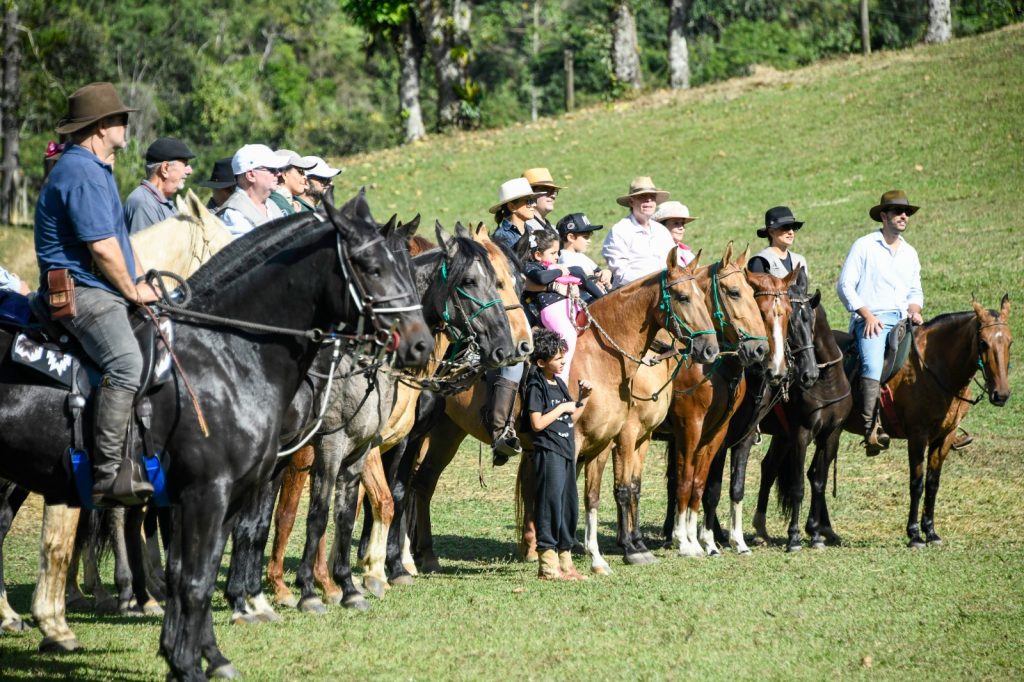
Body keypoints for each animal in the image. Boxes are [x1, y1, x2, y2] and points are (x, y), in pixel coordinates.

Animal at [0, 192, 432, 679]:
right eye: (371, 266)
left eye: (407, 268)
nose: (419, 343)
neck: (227, 356)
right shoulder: (220, 487)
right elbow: (212, 562)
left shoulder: (241, 484)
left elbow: (208, 565)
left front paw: (206, 649)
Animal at [401, 244, 720, 573]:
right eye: (683, 297)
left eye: (702, 295)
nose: (711, 349)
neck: (602, 358)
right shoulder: (590, 440)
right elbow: (575, 493)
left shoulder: (604, 443)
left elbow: (595, 496)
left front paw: (597, 556)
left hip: (447, 433)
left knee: (423, 484)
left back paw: (427, 556)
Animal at [835, 294, 1011, 544]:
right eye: (984, 343)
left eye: (1010, 342)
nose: (1001, 395)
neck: (935, 367)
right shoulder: (918, 436)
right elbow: (916, 483)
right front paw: (914, 534)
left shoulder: (945, 437)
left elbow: (932, 483)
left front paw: (931, 531)